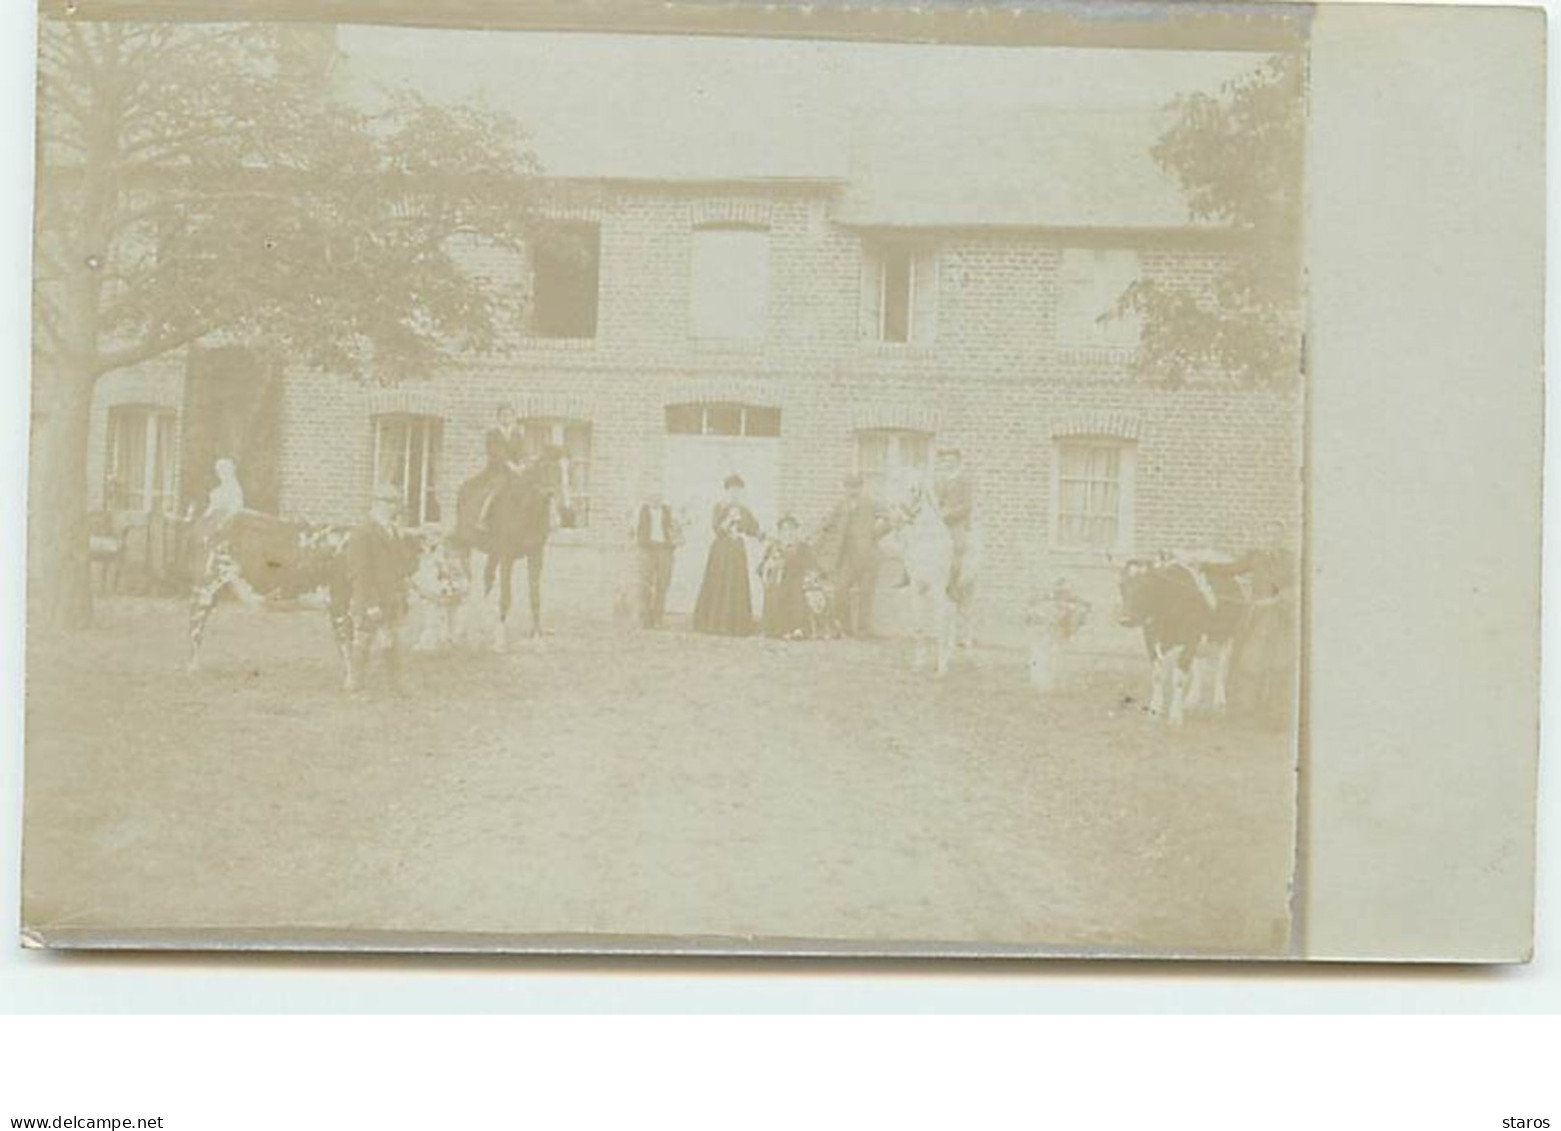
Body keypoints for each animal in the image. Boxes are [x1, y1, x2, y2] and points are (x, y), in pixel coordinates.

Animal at [183, 508, 462, 683]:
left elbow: (377, 641)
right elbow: (347, 645)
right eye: (437, 558)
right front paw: (350, 682)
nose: (459, 588)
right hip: (206, 587)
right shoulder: (338, 603)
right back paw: (193, 669)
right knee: (195, 626)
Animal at [452, 446, 574, 648]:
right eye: (549, 467)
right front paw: (500, 643)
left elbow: (534, 596)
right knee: (468, 581)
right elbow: (506, 597)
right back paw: (463, 629)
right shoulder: (506, 557)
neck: (526, 509)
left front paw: (538, 638)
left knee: (487, 580)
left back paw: (484, 626)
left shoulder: (536, 555)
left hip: (493, 554)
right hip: (465, 545)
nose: (568, 511)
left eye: (570, 469)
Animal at [1111, 552, 1255, 723]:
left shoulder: (1189, 641)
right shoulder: (1151, 641)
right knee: (1200, 665)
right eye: (1121, 586)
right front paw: (1154, 713)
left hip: (1233, 634)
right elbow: (1158, 677)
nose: (1125, 619)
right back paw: (1192, 701)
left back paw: (1219, 704)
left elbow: (1178, 679)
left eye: (1146, 585)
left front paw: (1175, 717)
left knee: (1222, 668)